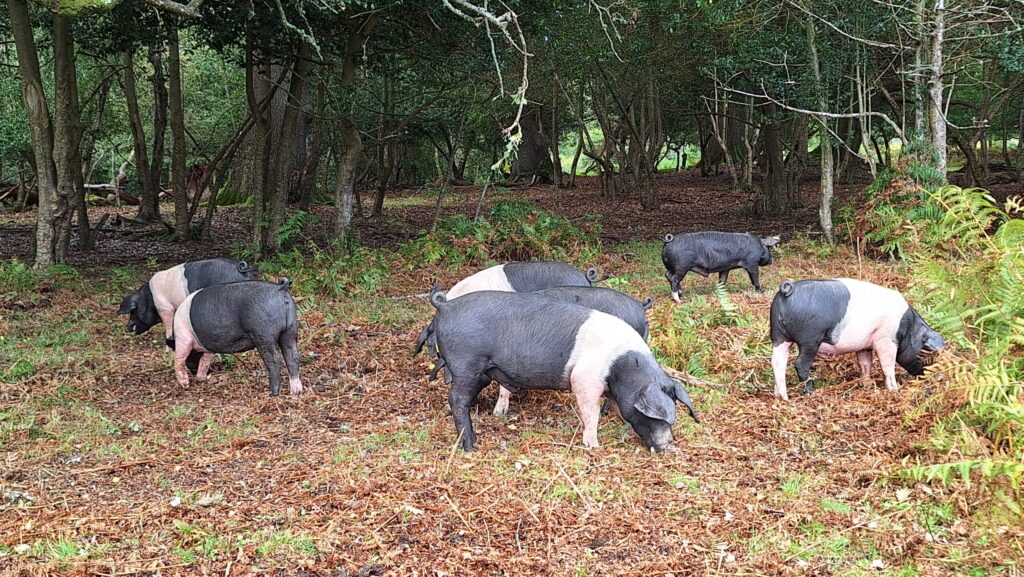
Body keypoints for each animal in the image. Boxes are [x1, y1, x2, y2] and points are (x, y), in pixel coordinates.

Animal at [171, 278, 302, 396]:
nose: (194, 374)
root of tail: (279, 288)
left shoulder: (183, 337)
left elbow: (179, 359)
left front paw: (185, 385)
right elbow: (205, 361)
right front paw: (201, 378)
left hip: (263, 333)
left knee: (275, 360)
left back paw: (273, 393)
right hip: (290, 330)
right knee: (292, 356)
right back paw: (296, 392)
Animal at [428, 289, 699, 452]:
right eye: (658, 416)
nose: (669, 446)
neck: (620, 368)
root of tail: (447, 307)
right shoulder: (584, 379)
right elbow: (591, 413)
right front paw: (593, 446)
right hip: (466, 362)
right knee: (457, 399)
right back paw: (471, 445)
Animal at [769, 278, 945, 400]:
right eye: (929, 352)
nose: (941, 377)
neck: (909, 329)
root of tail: (787, 291)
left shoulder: (865, 345)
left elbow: (865, 363)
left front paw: (866, 385)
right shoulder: (886, 339)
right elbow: (887, 364)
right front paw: (894, 389)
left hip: (778, 336)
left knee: (778, 362)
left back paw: (782, 396)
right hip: (810, 339)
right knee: (800, 364)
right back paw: (811, 393)